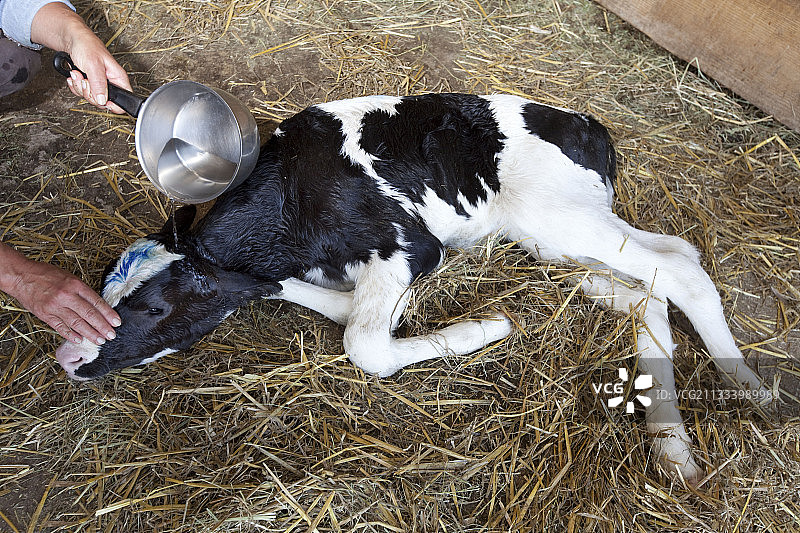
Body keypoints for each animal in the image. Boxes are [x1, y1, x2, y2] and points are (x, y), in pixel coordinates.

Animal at [54, 91, 768, 482]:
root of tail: (588, 124)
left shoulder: (411, 245)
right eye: (105, 285)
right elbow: (334, 310)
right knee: (652, 279)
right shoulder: (284, 275)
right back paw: (671, 443)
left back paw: (745, 385)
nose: (69, 357)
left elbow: (365, 344)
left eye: (153, 304)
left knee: (679, 268)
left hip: (561, 217)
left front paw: (486, 328)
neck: (287, 201)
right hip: (552, 236)